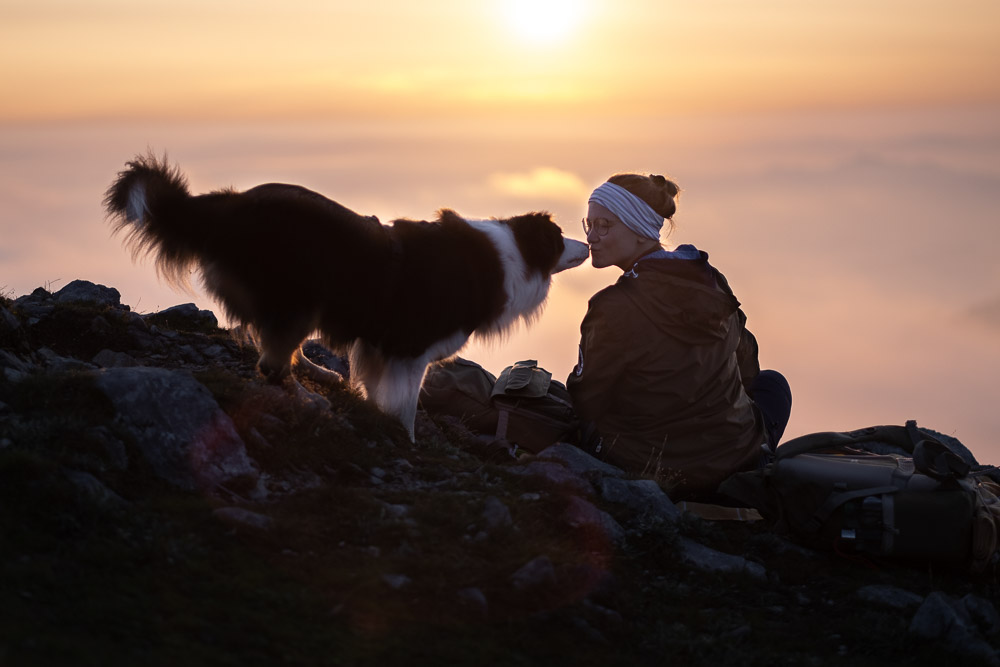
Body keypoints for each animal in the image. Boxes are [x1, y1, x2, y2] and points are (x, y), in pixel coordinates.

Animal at [105, 154, 588, 440]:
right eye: (559, 237)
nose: (586, 244)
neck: (509, 253)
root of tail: (229, 205)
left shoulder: (379, 346)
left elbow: (379, 389)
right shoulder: (410, 349)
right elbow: (406, 402)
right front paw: (406, 438)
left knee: (273, 345)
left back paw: (322, 374)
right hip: (300, 297)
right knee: (272, 362)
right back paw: (308, 397)